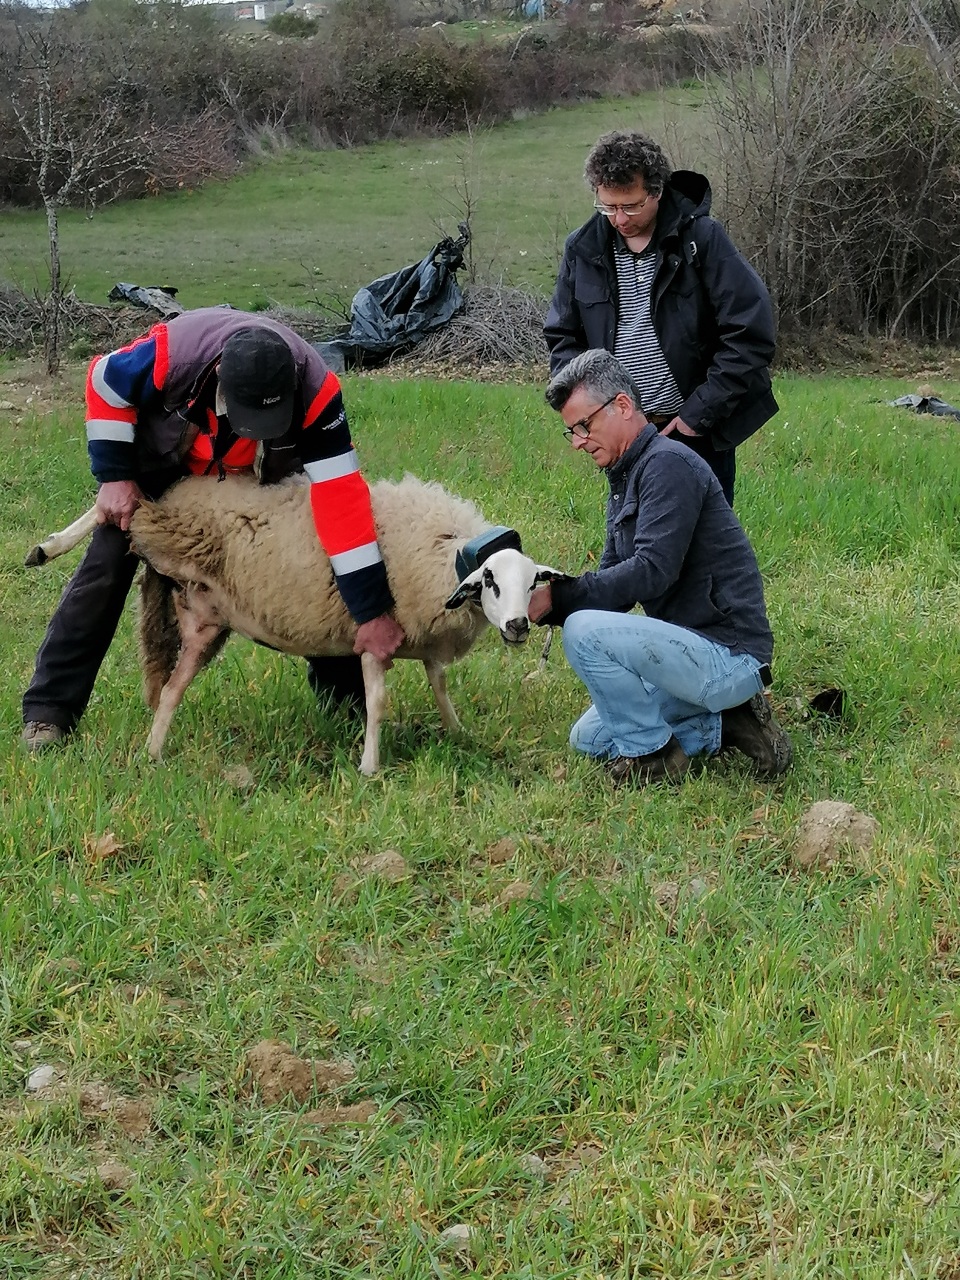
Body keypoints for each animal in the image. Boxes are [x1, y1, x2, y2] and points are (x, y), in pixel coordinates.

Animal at [126, 471, 563, 768]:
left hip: (206, 621)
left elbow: (440, 686)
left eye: (531, 584)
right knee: (172, 688)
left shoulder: (424, 637)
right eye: (490, 581)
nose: (518, 626)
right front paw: (369, 766)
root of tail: (173, 498)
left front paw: (458, 734)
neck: (440, 554)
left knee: (170, 689)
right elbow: (377, 701)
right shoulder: (373, 637)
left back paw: (152, 751)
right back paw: (153, 755)